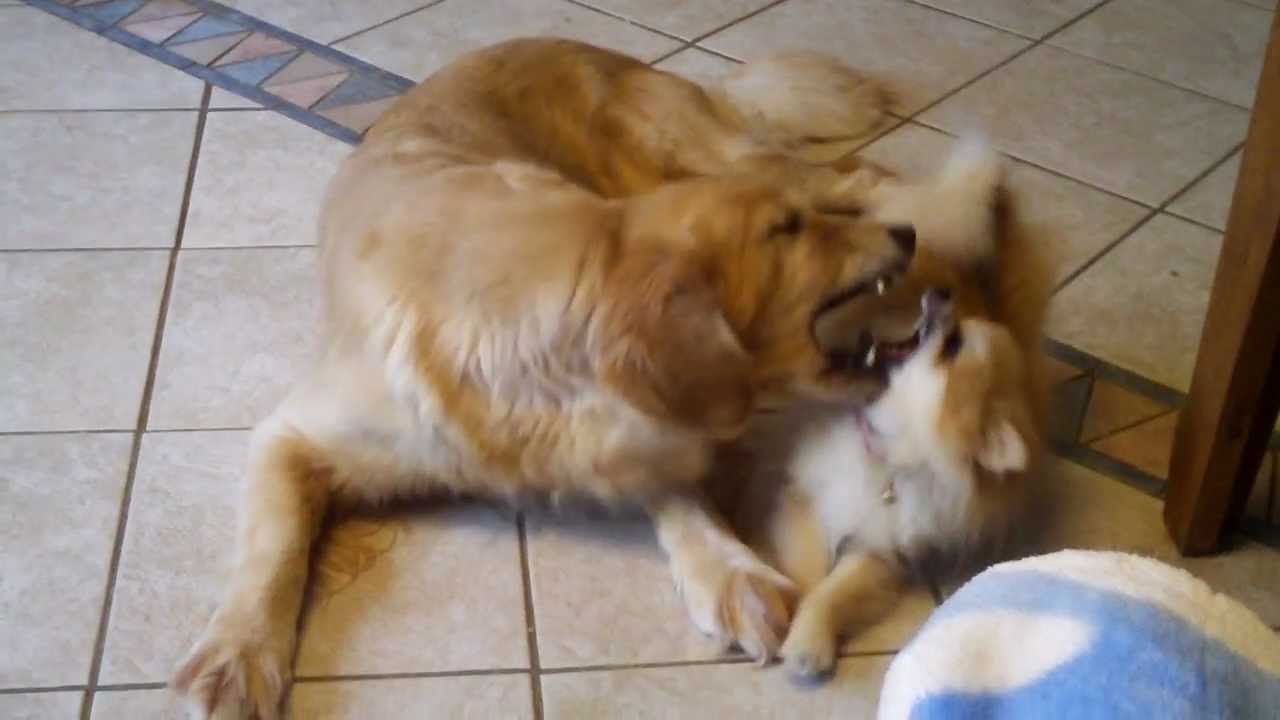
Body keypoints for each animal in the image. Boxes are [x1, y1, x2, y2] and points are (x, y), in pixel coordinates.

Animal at [172, 40, 931, 717]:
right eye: (784, 232)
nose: (903, 243)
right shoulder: (294, 432)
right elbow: (273, 547)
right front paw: (238, 652)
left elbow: (677, 486)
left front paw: (729, 569)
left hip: (712, 154)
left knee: (858, 175)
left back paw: (922, 208)